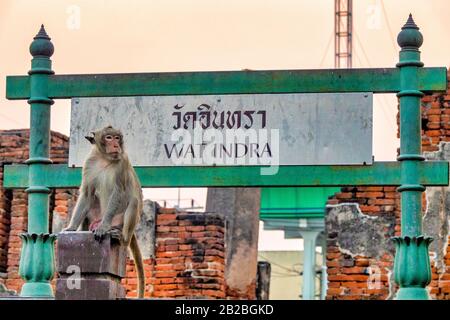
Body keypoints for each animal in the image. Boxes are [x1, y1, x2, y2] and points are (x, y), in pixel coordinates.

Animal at [62, 125, 144, 298]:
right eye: (109, 137)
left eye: (117, 137)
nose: (116, 145)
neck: (104, 158)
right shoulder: (89, 163)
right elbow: (87, 193)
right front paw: (71, 227)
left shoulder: (122, 162)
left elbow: (118, 192)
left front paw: (103, 227)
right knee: (92, 201)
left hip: (121, 222)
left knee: (133, 201)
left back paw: (120, 237)